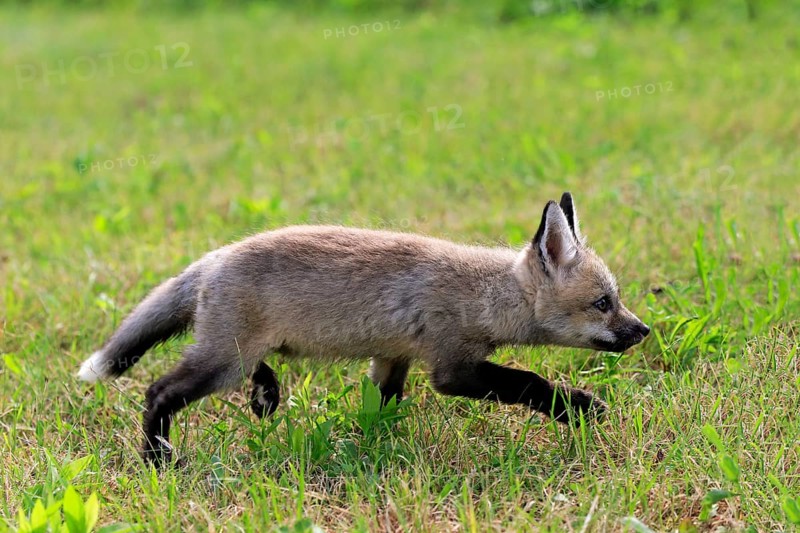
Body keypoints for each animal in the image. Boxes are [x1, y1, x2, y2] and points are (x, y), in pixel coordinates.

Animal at [78, 192, 649, 465]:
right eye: (603, 304)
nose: (642, 331)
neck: (484, 295)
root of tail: (214, 257)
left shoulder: (393, 356)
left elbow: (382, 405)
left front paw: (372, 443)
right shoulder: (452, 366)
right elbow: (526, 381)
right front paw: (578, 408)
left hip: (233, 352)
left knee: (254, 369)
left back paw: (265, 393)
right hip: (220, 363)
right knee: (158, 391)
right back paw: (158, 459)